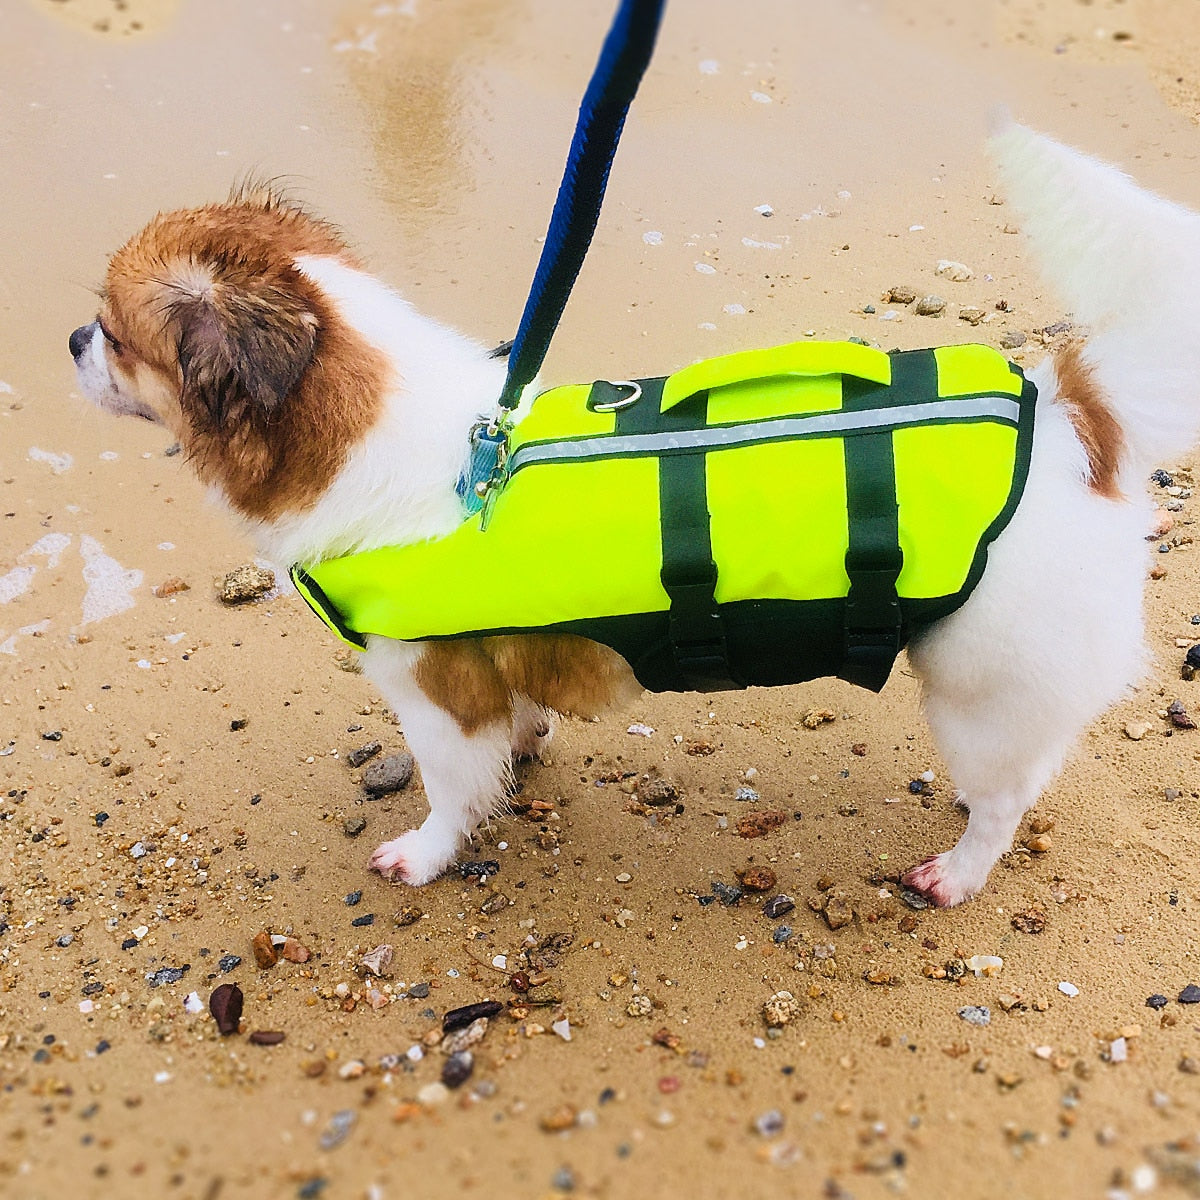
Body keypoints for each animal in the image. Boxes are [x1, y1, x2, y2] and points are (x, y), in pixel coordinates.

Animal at [68, 124, 1200, 907]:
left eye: (117, 337)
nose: (71, 340)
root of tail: (1069, 419)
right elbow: (513, 725)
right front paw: (524, 751)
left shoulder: (431, 691)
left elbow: (450, 787)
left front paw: (428, 852)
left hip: (977, 692)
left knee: (1004, 801)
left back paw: (959, 870)